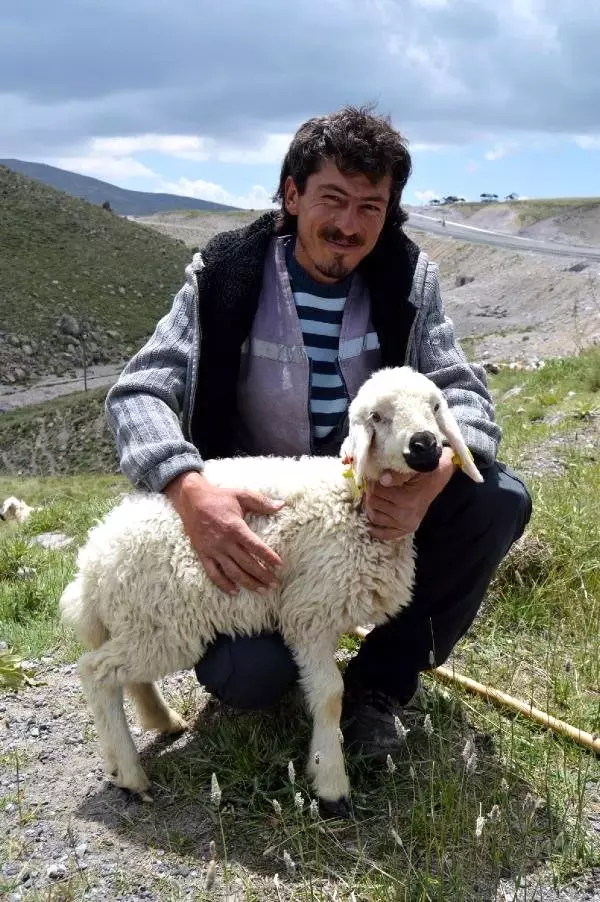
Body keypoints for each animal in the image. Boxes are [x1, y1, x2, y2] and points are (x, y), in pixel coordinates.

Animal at [59, 368, 482, 820]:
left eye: (435, 407)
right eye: (377, 417)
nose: (424, 445)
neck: (351, 503)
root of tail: (91, 564)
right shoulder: (310, 612)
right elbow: (330, 695)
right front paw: (331, 781)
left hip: (143, 620)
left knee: (126, 675)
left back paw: (162, 721)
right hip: (165, 625)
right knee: (96, 671)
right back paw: (130, 773)